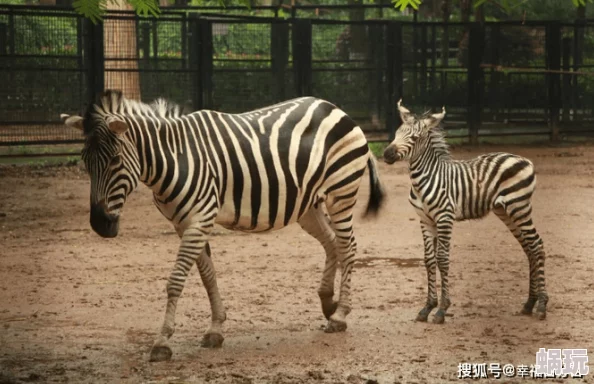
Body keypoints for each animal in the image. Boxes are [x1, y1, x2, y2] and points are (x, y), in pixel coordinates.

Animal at [60, 91, 384, 362]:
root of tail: (335, 107)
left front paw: (162, 342)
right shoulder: (184, 223)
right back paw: (328, 302)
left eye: (115, 160)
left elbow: (175, 281)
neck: (175, 158)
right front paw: (216, 329)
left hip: (341, 192)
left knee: (348, 246)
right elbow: (207, 275)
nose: (100, 225)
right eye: (85, 161)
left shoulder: (199, 218)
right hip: (308, 205)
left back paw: (340, 315)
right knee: (331, 242)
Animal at [382, 101, 548, 324]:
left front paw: (442, 310)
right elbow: (428, 260)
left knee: (537, 245)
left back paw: (542, 305)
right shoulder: (425, 220)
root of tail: (525, 160)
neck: (424, 178)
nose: (386, 154)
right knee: (529, 248)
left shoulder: (445, 217)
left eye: (414, 138)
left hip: (519, 207)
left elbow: (442, 259)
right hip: (506, 211)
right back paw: (529, 303)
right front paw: (427, 308)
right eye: (397, 133)